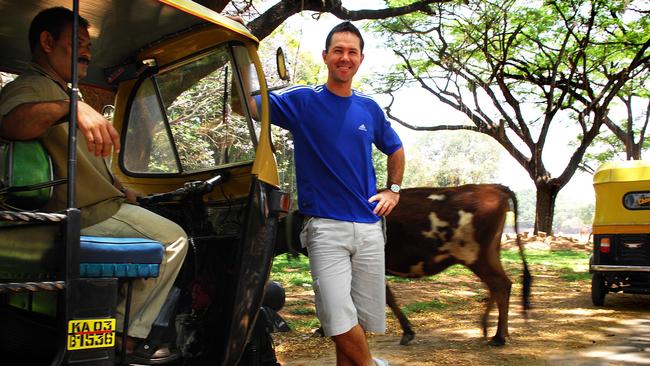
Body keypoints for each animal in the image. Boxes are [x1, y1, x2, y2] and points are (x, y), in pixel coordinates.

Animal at [276, 184, 528, 348]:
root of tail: (493, 187)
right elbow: (385, 296)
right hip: (488, 254)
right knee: (500, 285)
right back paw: (490, 330)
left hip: (477, 255)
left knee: (500, 285)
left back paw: (498, 336)